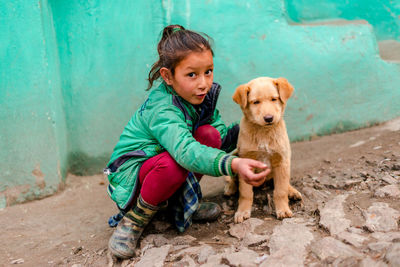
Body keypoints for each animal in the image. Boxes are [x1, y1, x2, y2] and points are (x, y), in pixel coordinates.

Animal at [223, 76, 302, 223]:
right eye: (256, 102)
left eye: (274, 99)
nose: (269, 118)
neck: (264, 132)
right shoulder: (246, 161)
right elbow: (245, 192)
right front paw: (242, 211)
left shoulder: (281, 160)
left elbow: (280, 190)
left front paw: (283, 209)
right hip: (236, 154)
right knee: (233, 178)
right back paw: (230, 187)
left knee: (284, 182)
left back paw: (292, 191)